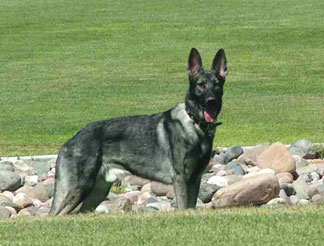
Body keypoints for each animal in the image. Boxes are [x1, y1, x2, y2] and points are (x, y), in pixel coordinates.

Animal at [50, 48, 228, 215]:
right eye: (201, 85)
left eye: (217, 84)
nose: (211, 101)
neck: (195, 124)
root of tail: (69, 141)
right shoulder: (181, 179)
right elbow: (183, 207)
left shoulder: (195, 179)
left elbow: (191, 206)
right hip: (77, 189)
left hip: (97, 192)